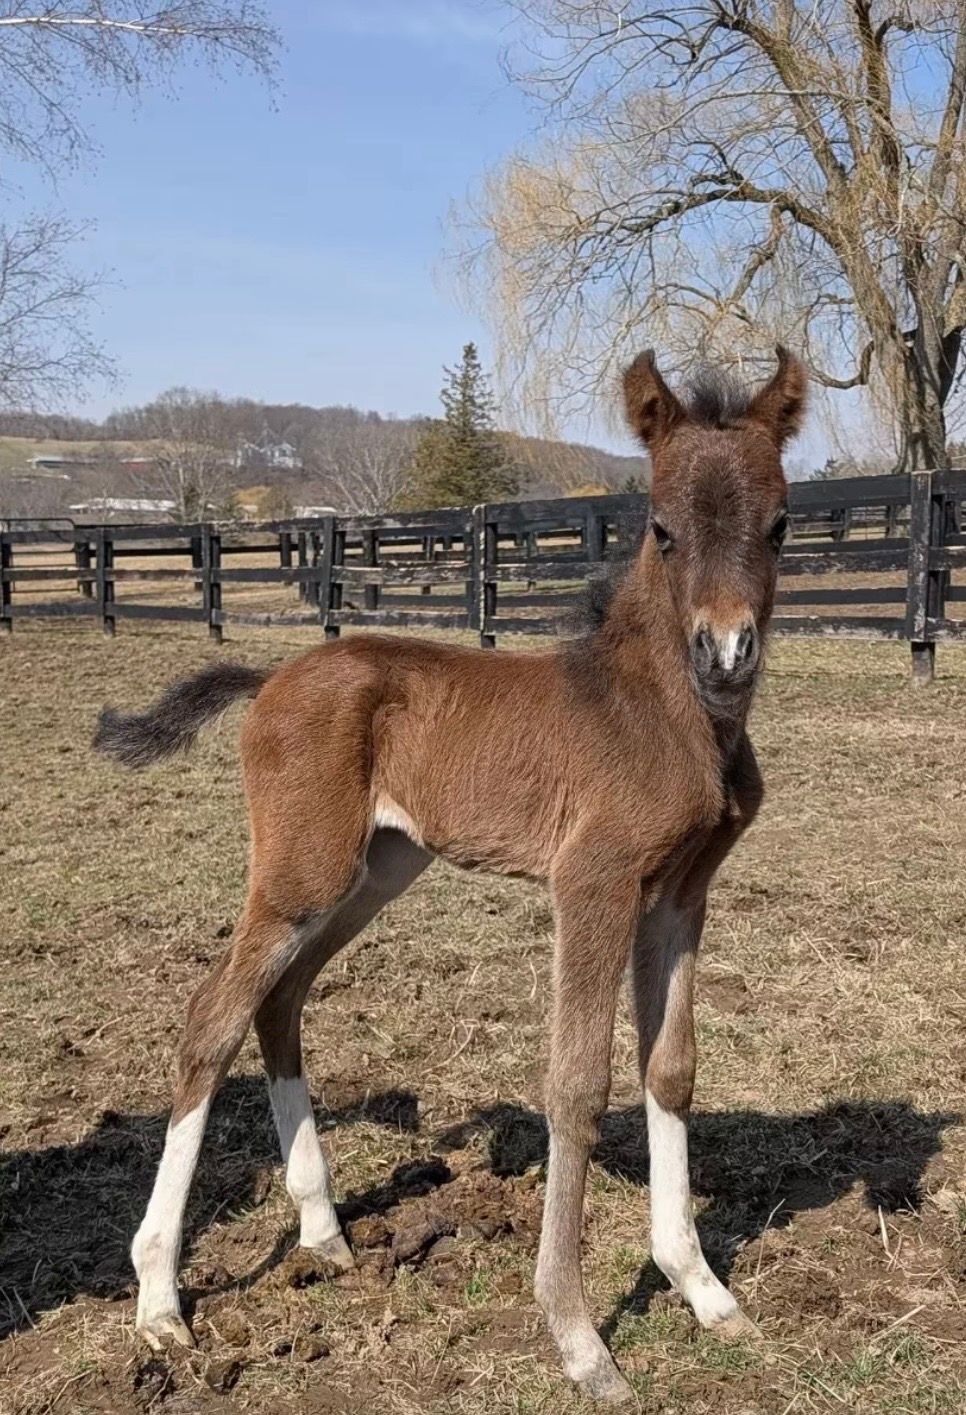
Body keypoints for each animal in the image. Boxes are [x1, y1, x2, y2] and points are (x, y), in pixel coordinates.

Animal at [94, 347, 805, 1402]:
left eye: (781, 524)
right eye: (663, 530)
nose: (725, 652)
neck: (668, 713)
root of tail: (268, 678)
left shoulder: (681, 894)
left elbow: (670, 1069)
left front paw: (707, 1291)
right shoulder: (591, 883)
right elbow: (578, 1085)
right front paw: (580, 1340)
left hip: (377, 867)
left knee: (279, 1001)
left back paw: (325, 1232)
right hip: (303, 871)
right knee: (213, 1015)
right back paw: (158, 1302)